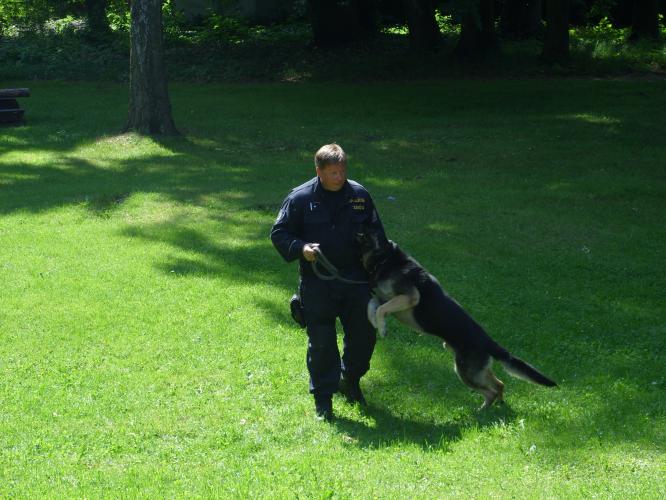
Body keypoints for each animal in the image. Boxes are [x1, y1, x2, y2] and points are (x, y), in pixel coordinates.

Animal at [357, 225, 556, 409]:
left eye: (374, 229)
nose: (362, 225)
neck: (386, 257)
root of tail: (488, 341)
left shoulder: (410, 297)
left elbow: (381, 309)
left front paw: (382, 328)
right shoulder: (381, 297)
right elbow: (371, 306)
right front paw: (375, 323)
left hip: (465, 372)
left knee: (491, 390)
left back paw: (483, 411)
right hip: (472, 369)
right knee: (499, 384)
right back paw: (496, 407)